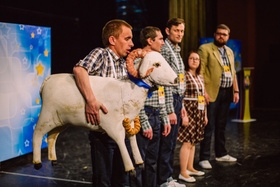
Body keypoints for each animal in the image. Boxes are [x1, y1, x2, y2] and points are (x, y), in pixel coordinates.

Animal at [32, 49, 177, 174]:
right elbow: (120, 140)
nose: (176, 79)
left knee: (52, 136)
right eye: (157, 64)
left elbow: (132, 138)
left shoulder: (129, 121)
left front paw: (139, 162)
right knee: (37, 133)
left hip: (61, 121)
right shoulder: (112, 125)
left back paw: (53, 160)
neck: (126, 89)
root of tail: (47, 80)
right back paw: (37, 162)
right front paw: (130, 168)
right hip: (46, 116)